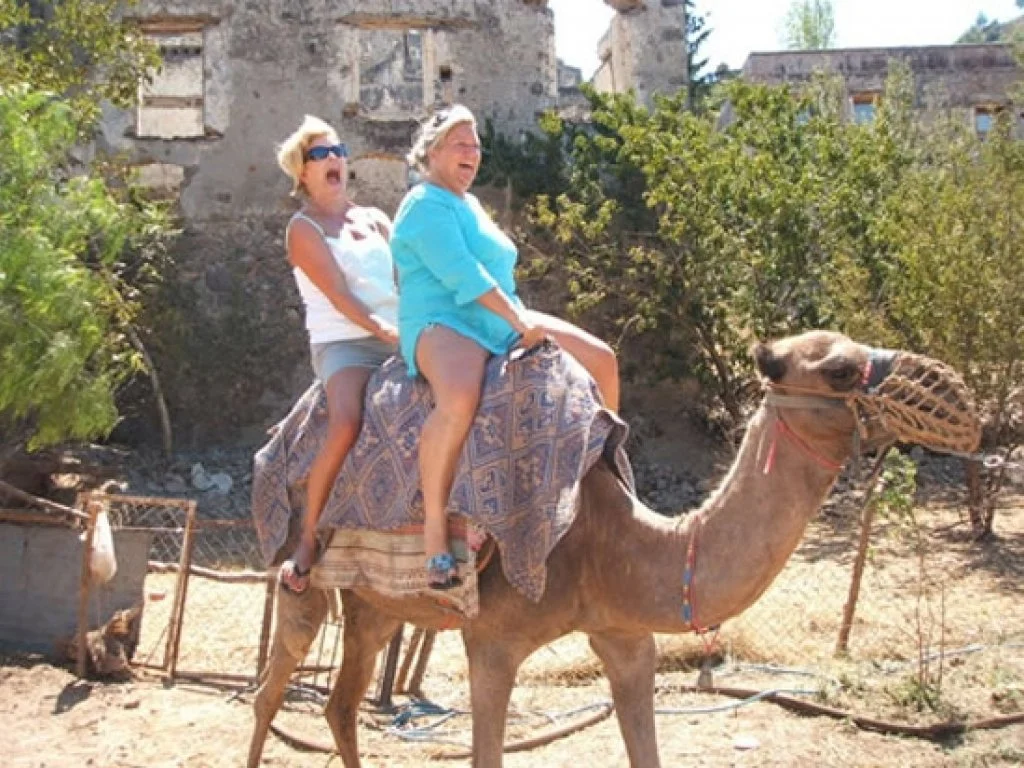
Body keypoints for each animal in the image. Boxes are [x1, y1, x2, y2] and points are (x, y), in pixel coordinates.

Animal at [247, 330, 976, 768]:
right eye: (843, 368)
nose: (956, 395)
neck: (613, 540)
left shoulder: (626, 636)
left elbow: (645, 749)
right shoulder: (493, 642)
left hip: (375, 603)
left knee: (341, 702)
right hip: (303, 572)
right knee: (269, 689)